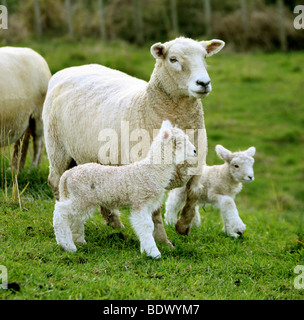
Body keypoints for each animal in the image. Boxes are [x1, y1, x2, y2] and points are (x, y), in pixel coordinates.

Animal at [53, 120, 197, 258]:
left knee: (76, 218)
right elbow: (146, 226)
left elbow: (147, 227)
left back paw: (79, 241)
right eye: (179, 142)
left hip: (81, 197)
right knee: (60, 212)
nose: (195, 151)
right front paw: (154, 253)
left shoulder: (148, 203)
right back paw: (67, 245)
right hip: (81, 197)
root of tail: (69, 173)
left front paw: (144, 250)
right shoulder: (140, 200)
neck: (153, 170)